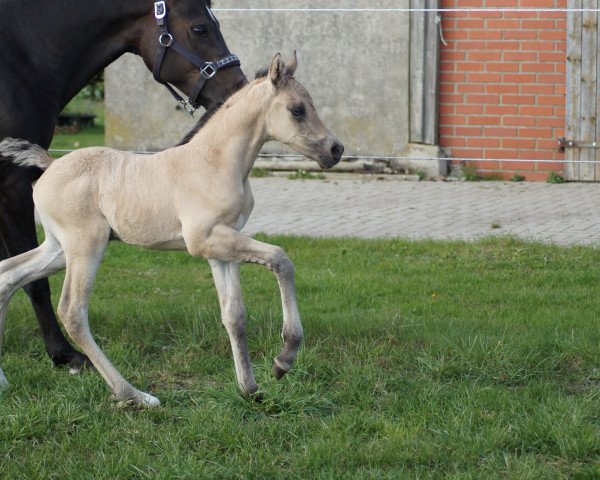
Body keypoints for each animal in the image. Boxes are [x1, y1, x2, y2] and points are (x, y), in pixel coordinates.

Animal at [0, 0, 246, 372]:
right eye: (200, 28)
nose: (239, 86)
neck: (19, 60)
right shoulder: (13, 186)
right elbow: (35, 282)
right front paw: (63, 353)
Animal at [0, 52, 342, 404]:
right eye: (297, 110)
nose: (336, 150)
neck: (215, 162)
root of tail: (51, 164)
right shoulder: (204, 240)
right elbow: (280, 259)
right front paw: (284, 359)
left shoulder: (221, 246)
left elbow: (234, 315)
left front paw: (250, 388)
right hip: (85, 246)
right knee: (72, 311)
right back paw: (134, 395)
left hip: (58, 249)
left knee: (8, 276)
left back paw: (4, 382)